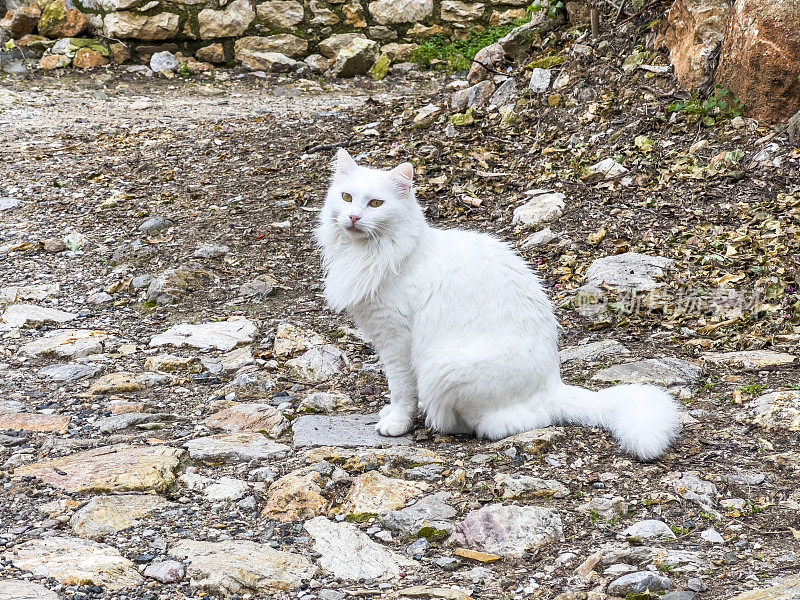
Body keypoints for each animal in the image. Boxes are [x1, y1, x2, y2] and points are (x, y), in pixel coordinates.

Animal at [316, 150, 680, 460]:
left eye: (376, 203)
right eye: (346, 198)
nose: (353, 216)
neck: (374, 255)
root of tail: (552, 386)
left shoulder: (396, 341)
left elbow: (402, 391)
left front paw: (396, 422)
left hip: (443, 367)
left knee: (495, 424)